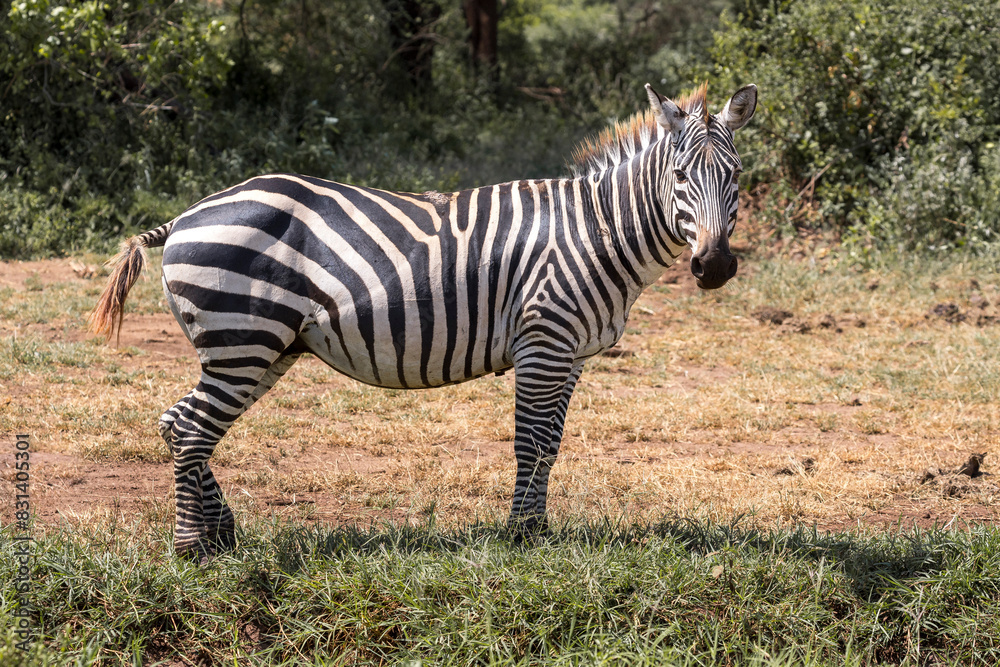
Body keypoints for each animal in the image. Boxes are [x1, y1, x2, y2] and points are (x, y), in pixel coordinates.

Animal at [91, 82, 757, 559]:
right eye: (680, 177)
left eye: (736, 176)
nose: (716, 266)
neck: (596, 232)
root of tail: (184, 217)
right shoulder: (543, 339)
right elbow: (531, 440)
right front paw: (521, 538)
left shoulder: (569, 354)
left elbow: (550, 443)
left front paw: (537, 531)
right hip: (241, 340)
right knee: (190, 429)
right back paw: (193, 549)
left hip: (261, 348)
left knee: (181, 424)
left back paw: (223, 534)